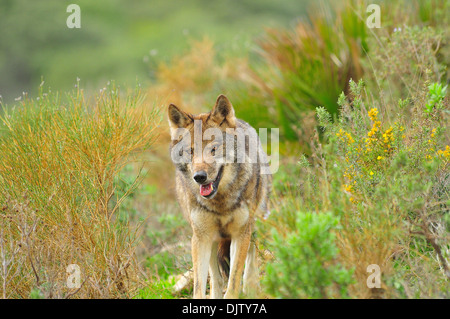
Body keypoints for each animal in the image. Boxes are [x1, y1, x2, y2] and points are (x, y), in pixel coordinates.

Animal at [168, 95, 270, 300]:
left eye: (214, 149)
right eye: (191, 151)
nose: (199, 177)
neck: (220, 203)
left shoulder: (240, 232)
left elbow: (234, 281)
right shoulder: (200, 237)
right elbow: (200, 287)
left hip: (255, 219)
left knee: (252, 254)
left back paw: (252, 286)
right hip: (212, 239)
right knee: (215, 278)